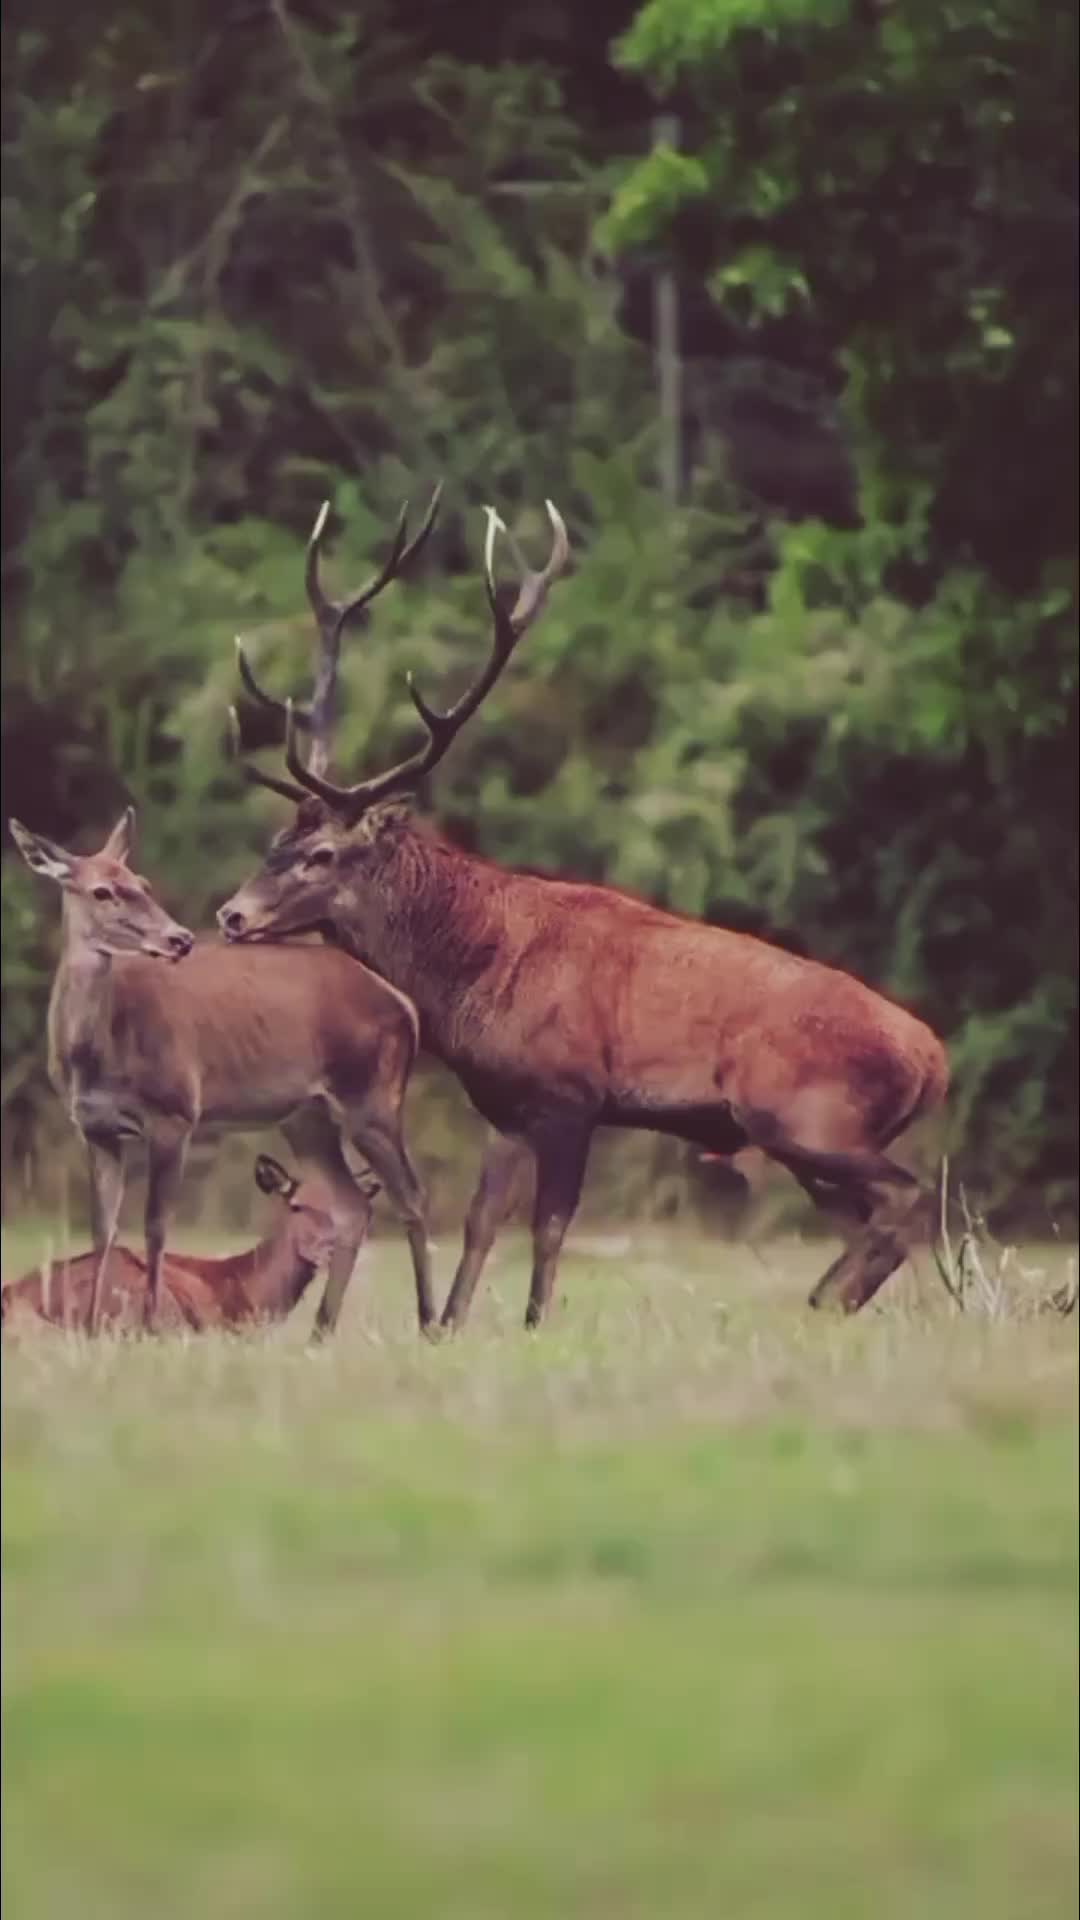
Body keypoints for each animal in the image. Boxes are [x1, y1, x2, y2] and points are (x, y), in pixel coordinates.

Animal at [217, 492, 949, 1332]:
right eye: (276, 839)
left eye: (322, 855)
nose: (232, 915)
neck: (473, 977)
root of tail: (934, 1062)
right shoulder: (505, 1107)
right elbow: (480, 1223)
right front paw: (447, 1327)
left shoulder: (573, 1097)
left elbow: (550, 1227)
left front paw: (534, 1325)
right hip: (805, 1140)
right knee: (873, 1215)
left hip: (801, 1115)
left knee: (907, 1196)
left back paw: (823, 1297)